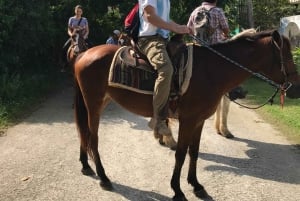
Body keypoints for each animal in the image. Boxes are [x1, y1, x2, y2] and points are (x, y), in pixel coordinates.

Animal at [72, 30, 300, 201]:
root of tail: (83, 55)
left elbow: (194, 152)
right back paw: (103, 177)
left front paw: (196, 185)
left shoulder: (199, 120)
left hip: (100, 101)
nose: (296, 89)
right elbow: (181, 153)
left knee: (84, 133)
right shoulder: (188, 120)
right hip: (93, 104)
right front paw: (177, 190)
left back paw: (86, 166)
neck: (210, 70)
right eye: (288, 56)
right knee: (92, 137)